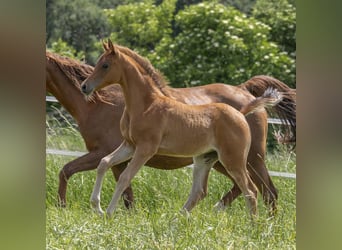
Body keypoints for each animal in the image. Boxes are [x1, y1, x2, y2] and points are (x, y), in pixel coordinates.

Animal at [46, 50, 296, 211]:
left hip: (250, 158)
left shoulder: (115, 150)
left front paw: (67, 207)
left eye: (105, 65)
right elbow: (116, 182)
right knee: (232, 189)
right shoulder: (122, 151)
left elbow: (69, 171)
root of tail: (246, 96)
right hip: (217, 160)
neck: (98, 104)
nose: (84, 87)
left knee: (266, 192)